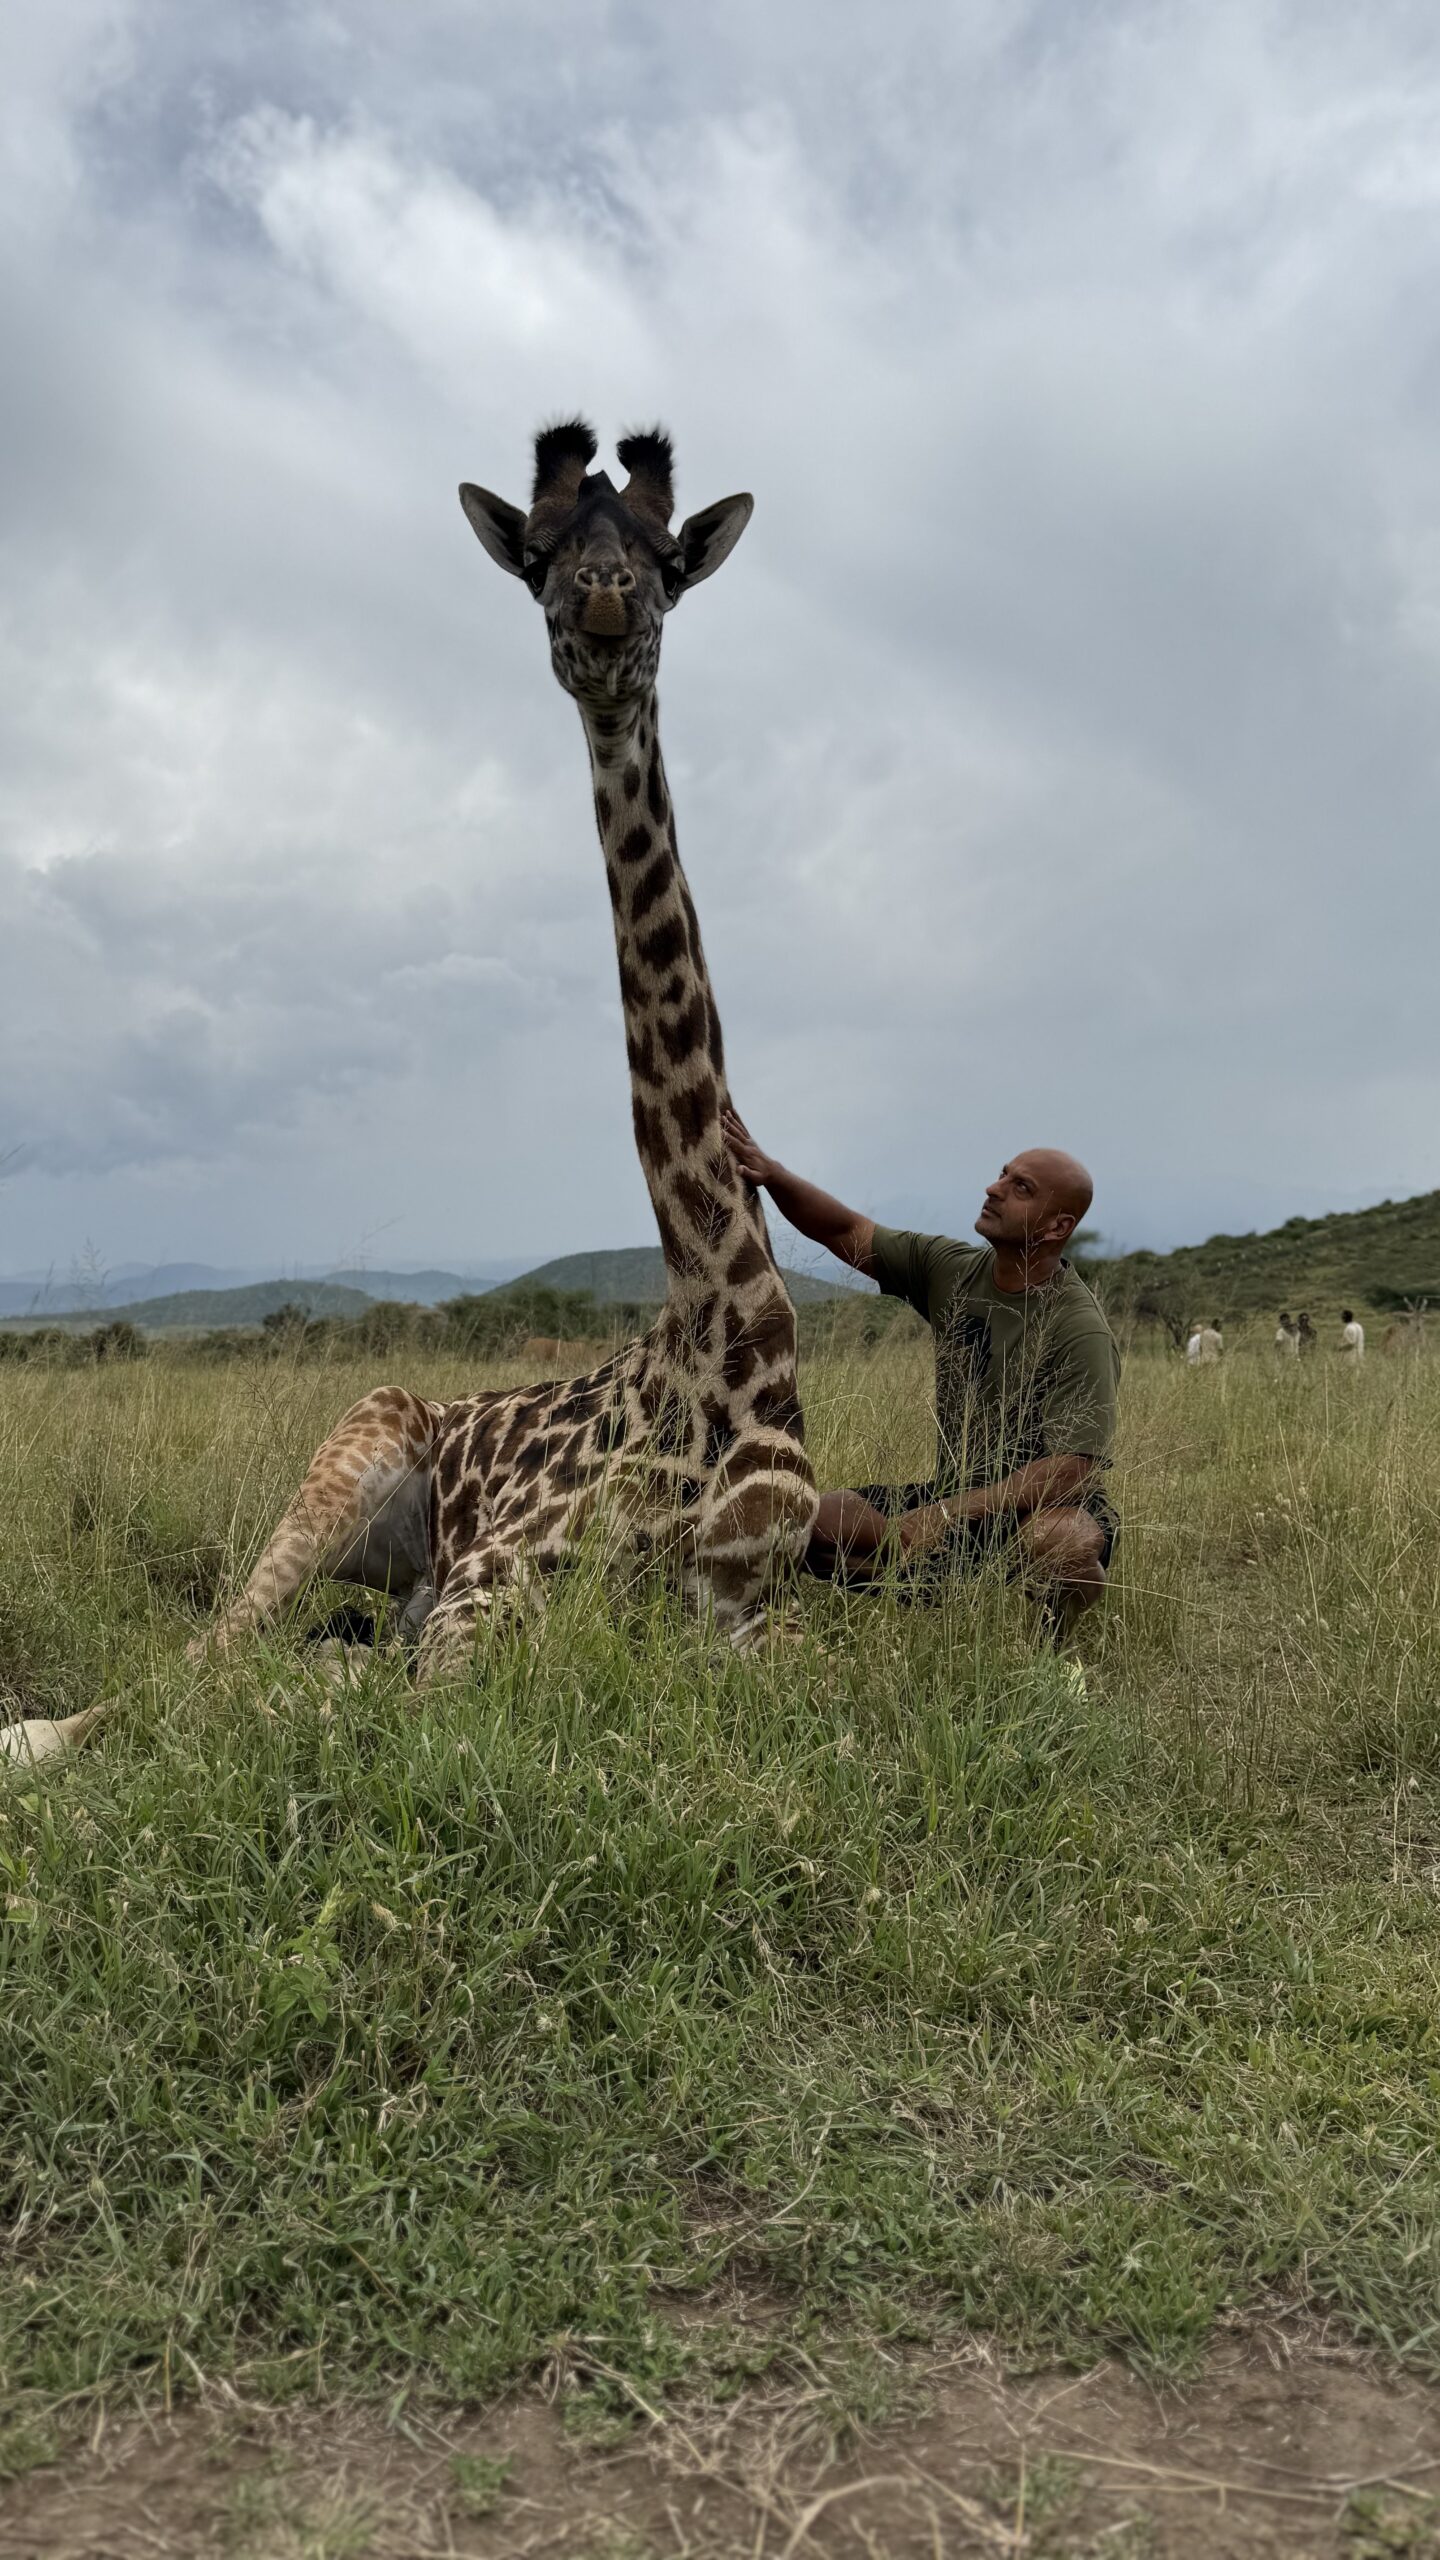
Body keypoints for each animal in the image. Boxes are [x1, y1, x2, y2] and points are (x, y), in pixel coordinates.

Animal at [1, 420, 815, 1757]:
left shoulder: (762, 1618)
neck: (723, 1330)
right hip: (353, 1446)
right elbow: (393, 1705)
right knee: (206, 1653)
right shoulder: (485, 1594)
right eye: (537, 555)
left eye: (664, 560)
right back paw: (37, 1740)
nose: (602, 605)